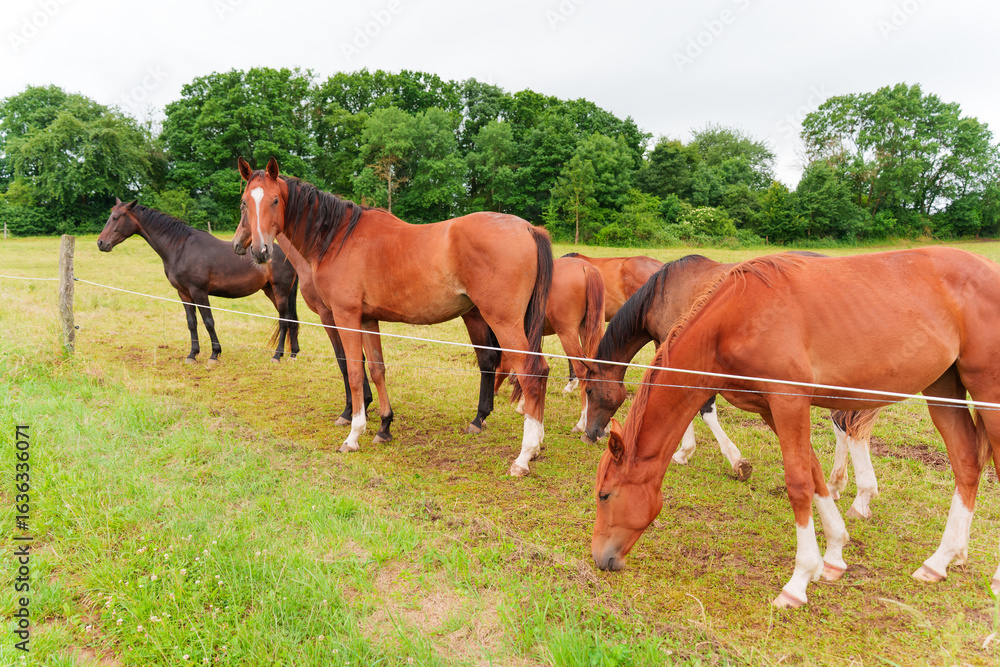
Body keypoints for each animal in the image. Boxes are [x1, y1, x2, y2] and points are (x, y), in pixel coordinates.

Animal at [97, 199, 299, 364]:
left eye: (116, 217)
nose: (101, 243)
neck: (181, 248)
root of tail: (289, 256)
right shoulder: (184, 293)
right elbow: (191, 322)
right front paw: (192, 355)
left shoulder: (199, 291)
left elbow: (208, 321)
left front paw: (214, 354)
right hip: (271, 291)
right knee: (291, 320)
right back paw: (292, 354)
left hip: (280, 291)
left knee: (284, 320)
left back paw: (277, 356)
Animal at [233, 157, 553, 476]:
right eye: (244, 202)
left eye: (275, 200)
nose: (256, 250)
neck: (338, 238)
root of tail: (528, 229)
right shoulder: (367, 319)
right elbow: (376, 369)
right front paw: (384, 426)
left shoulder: (344, 316)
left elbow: (353, 370)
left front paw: (353, 433)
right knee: (531, 369)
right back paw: (530, 442)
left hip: (503, 322)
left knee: (530, 373)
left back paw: (523, 456)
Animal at [582, 253, 882, 518]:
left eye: (588, 390)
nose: (591, 433)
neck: (661, 292)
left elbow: (701, 410)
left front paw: (706, 455)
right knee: (843, 425)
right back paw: (838, 485)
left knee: (845, 425)